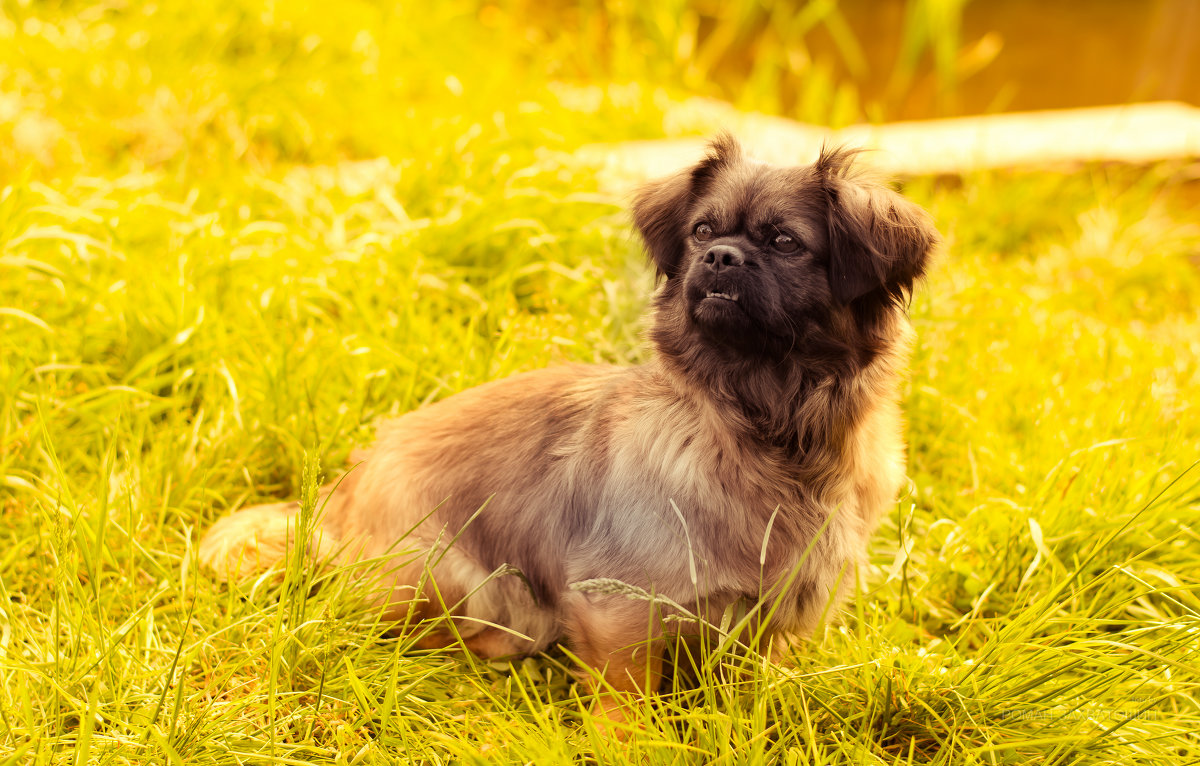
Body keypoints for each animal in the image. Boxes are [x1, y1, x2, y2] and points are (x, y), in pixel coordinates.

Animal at [201, 135, 940, 729]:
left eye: (786, 242)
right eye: (702, 232)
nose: (722, 257)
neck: (766, 428)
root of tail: (340, 495)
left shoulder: (768, 618)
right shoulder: (618, 609)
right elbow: (626, 703)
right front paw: (635, 743)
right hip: (457, 578)